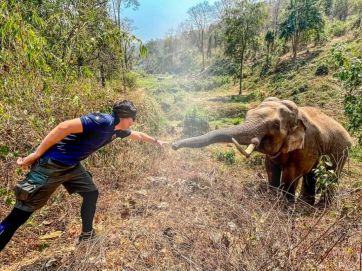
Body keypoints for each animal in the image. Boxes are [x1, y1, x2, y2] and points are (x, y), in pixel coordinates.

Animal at [171, 98, 352, 206]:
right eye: (247, 115)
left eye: (275, 125)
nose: (173, 146)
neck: (297, 114)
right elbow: (270, 168)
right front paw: (272, 198)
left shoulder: (306, 145)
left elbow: (292, 173)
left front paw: (284, 206)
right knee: (313, 173)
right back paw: (306, 204)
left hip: (341, 150)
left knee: (331, 173)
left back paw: (320, 207)